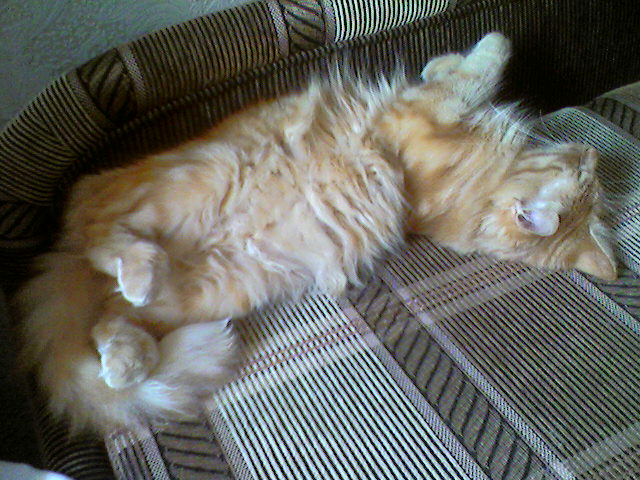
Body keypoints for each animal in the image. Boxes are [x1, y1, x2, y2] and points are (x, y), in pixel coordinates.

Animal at [16, 33, 617, 435]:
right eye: (584, 174)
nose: (592, 152)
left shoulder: (423, 120)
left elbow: (466, 76)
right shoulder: (422, 113)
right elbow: (475, 69)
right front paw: (471, 49)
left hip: (214, 290)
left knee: (109, 311)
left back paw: (129, 354)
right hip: (193, 181)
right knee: (98, 227)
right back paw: (137, 271)